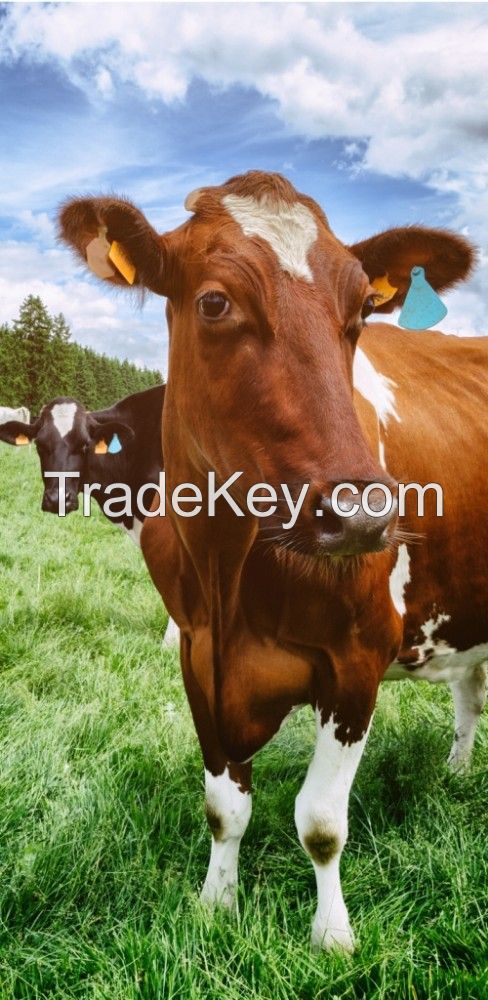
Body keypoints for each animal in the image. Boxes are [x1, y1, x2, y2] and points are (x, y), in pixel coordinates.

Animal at [58, 172, 485, 951]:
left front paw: (333, 935)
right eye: (215, 302)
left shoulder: (357, 660)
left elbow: (320, 822)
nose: (361, 513)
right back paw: (459, 771)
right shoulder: (199, 655)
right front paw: (216, 903)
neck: (230, 575)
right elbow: (223, 806)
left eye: (363, 309)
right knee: (470, 693)